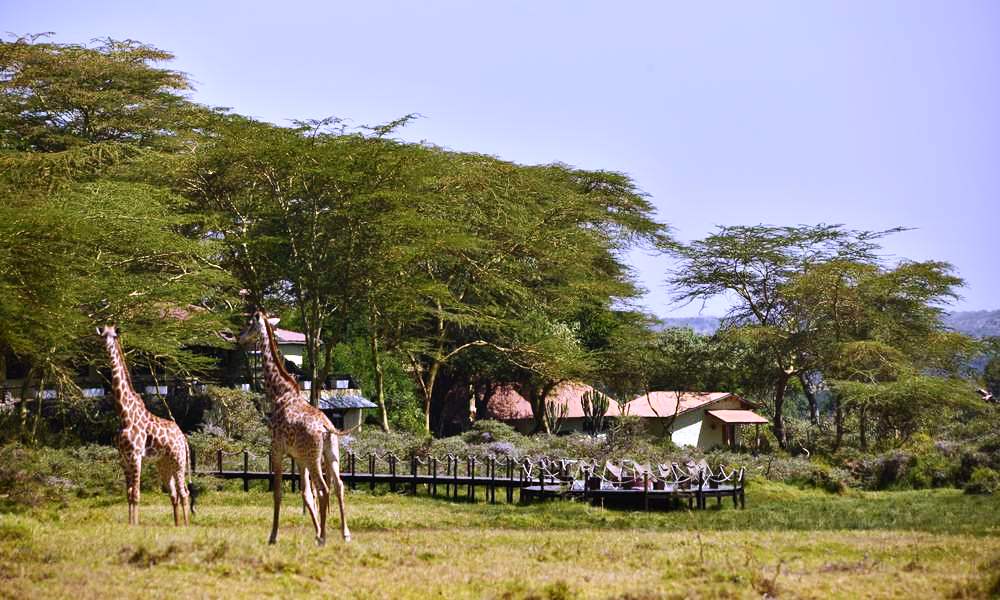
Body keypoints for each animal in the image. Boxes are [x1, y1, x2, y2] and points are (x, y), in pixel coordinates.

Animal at [98, 326, 191, 528]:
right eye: (102, 335)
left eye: (114, 336)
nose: (106, 345)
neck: (124, 415)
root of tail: (183, 437)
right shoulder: (123, 458)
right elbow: (128, 494)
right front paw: (129, 524)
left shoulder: (136, 455)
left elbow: (136, 494)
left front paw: (135, 525)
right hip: (163, 464)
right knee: (174, 495)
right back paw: (177, 524)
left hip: (179, 461)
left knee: (184, 493)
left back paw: (187, 525)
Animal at [238, 312, 352, 548]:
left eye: (249, 324)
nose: (239, 337)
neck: (279, 393)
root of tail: (326, 427)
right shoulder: (298, 457)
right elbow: (305, 493)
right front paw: (316, 531)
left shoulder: (277, 450)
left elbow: (279, 493)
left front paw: (273, 536)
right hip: (330, 454)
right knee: (338, 485)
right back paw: (344, 534)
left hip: (314, 457)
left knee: (324, 488)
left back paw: (324, 538)